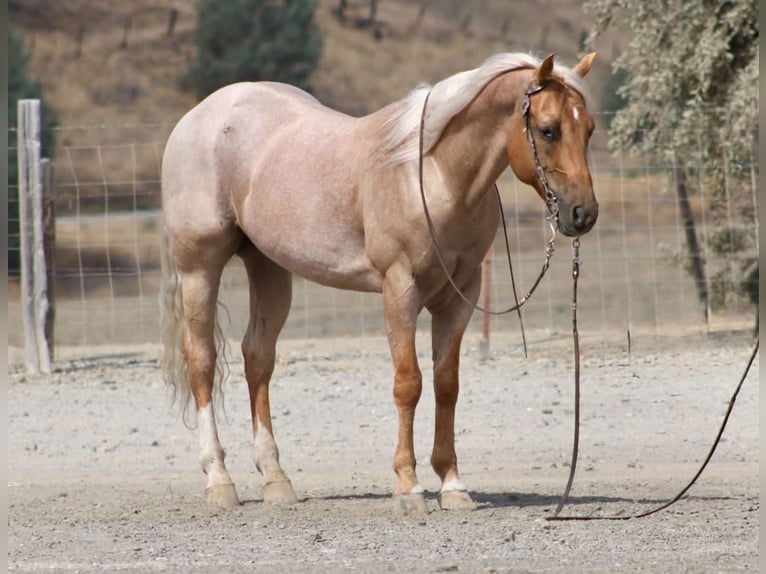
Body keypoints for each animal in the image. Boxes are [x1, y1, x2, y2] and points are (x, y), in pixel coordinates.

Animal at [160, 51, 598, 513]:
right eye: (548, 130)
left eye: (588, 128)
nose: (583, 214)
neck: (434, 175)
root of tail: (199, 117)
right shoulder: (399, 289)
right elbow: (409, 384)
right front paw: (409, 486)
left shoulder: (460, 296)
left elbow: (446, 384)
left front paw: (452, 484)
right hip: (199, 268)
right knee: (202, 360)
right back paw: (219, 480)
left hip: (268, 267)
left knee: (257, 357)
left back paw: (276, 481)